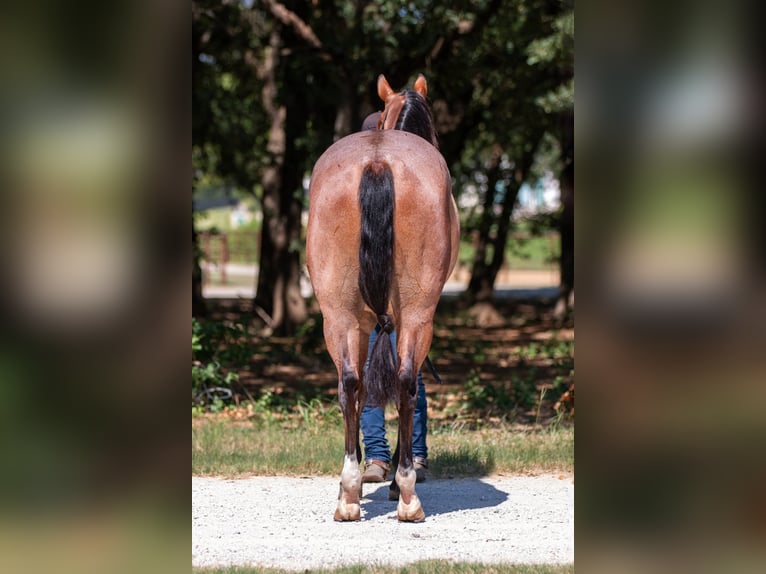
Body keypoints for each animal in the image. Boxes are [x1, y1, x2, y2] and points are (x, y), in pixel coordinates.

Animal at [306, 74, 459, 522]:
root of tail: (377, 161)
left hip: (339, 317)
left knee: (350, 385)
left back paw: (349, 494)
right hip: (417, 316)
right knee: (406, 383)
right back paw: (405, 491)